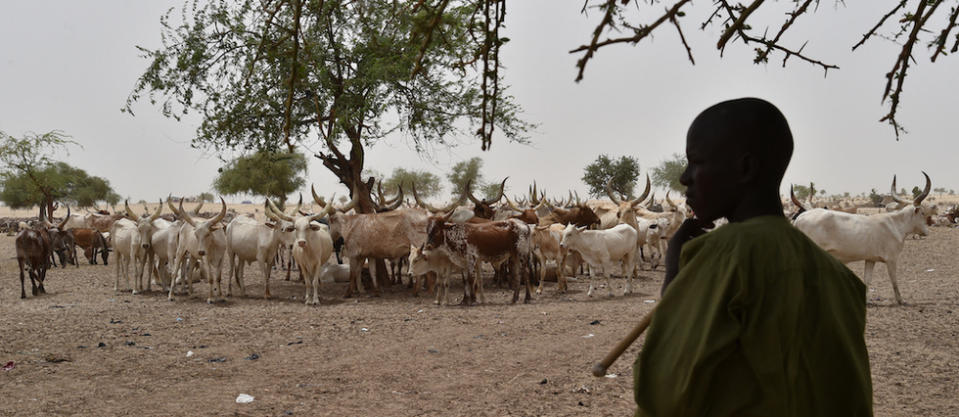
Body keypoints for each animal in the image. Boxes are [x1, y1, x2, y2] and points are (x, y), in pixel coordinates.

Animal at [792, 171, 932, 304]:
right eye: (923, 213)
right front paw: (901, 300)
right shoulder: (891, 259)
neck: (895, 224)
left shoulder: (870, 259)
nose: (927, 232)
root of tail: (800, 219)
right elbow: (894, 280)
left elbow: (867, 280)